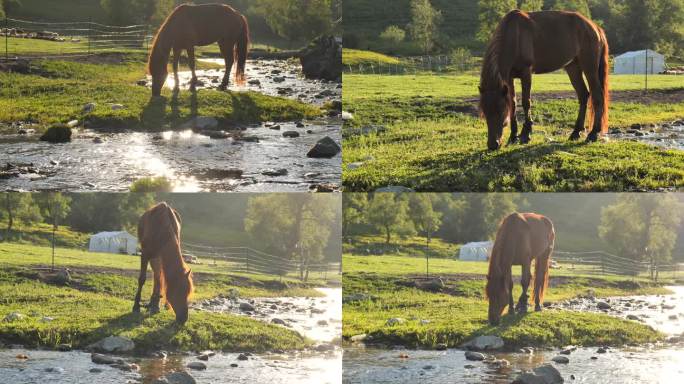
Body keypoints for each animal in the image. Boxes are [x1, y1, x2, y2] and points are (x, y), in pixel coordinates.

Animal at [478, 9, 612, 149]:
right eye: (485, 111)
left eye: (500, 111)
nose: (493, 144)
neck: (514, 35)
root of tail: (595, 28)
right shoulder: (509, 78)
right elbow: (513, 103)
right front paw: (513, 137)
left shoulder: (526, 73)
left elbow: (526, 102)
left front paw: (526, 135)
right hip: (573, 68)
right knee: (583, 95)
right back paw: (576, 132)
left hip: (589, 68)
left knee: (597, 96)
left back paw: (593, 133)